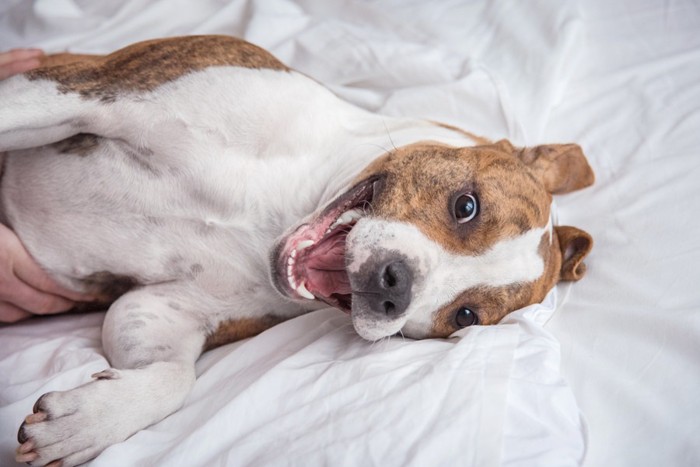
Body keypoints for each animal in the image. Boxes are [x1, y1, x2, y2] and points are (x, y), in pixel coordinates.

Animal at [0, 34, 592, 466]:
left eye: (465, 316)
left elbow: (174, 378)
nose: (394, 287)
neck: (282, 208)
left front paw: (86, 422)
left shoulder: (159, 309)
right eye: (466, 206)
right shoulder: (80, 92)